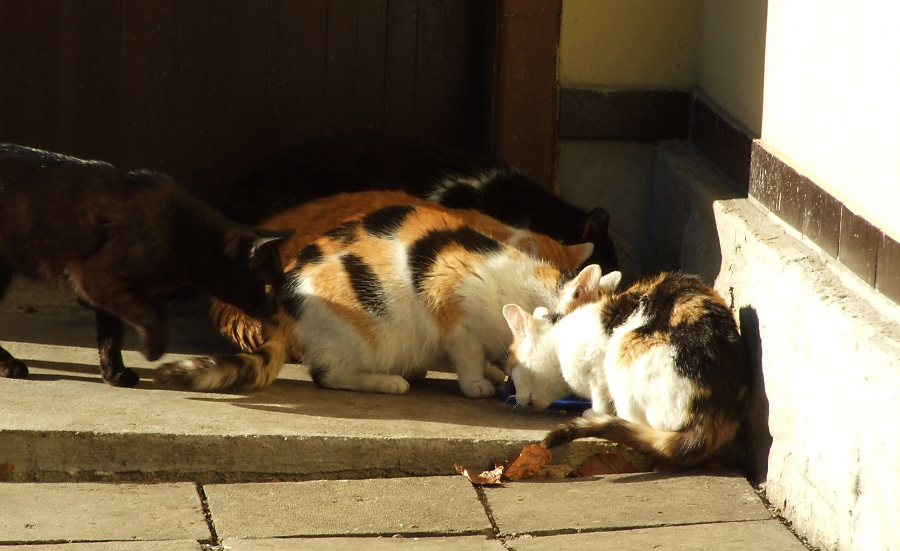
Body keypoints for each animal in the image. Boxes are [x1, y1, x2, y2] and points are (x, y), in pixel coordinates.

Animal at [0, 147, 292, 388]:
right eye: (267, 285)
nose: (276, 310)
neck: (186, 234)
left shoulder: (110, 291)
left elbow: (111, 336)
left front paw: (114, 373)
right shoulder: (95, 277)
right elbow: (152, 315)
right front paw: (153, 350)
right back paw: (9, 364)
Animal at [502, 270, 748, 466]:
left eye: (512, 368)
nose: (516, 398)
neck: (560, 336)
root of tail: (711, 417)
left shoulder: (597, 368)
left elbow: (600, 397)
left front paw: (594, 412)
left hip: (621, 355)